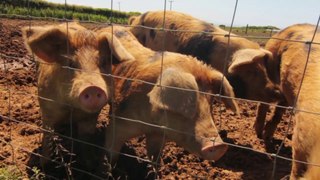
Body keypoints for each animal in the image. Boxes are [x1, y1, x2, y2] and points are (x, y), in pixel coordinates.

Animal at [21, 21, 134, 178]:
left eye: (103, 62)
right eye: (70, 63)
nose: (92, 88)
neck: (71, 108)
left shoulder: (90, 117)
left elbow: (86, 141)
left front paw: (89, 166)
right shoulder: (47, 110)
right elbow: (48, 138)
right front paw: (44, 167)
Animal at [96, 26, 239, 165]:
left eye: (210, 101)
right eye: (186, 104)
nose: (219, 146)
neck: (151, 124)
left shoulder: (158, 136)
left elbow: (154, 156)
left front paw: (154, 168)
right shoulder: (121, 124)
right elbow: (112, 150)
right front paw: (108, 166)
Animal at [260, 23, 320, 179]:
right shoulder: (300, 139)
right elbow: (296, 169)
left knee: (279, 109)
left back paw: (268, 137)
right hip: (271, 53)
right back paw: (260, 134)